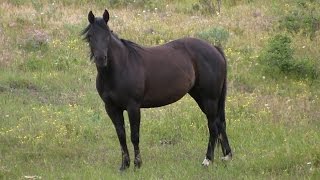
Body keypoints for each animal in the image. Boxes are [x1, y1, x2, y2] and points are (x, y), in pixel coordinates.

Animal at [82, 9, 232, 171]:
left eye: (108, 35)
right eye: (90, 36)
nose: (101, 59)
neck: (121, 67)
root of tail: (215, 48)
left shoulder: (133, 107)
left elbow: (134, 135)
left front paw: (137, 164)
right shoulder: (111, 108)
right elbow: (121, 135)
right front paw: (124, 165)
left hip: (209, 99)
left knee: (213, 126)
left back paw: (207, 160)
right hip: (202, 97)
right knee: (220, 123)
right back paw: (227, 156)